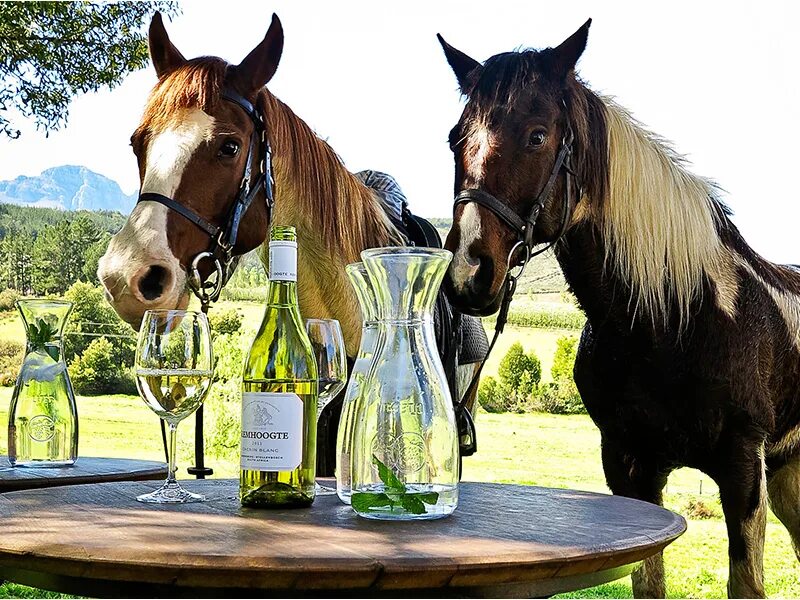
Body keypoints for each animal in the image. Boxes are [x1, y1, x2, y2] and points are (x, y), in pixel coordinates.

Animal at [438, 19, 800, 600]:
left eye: (538, 135)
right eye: (455, 138)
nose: (469, 272)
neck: (672, 320)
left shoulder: (744, 470)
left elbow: (745, 582)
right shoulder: (630, 466)